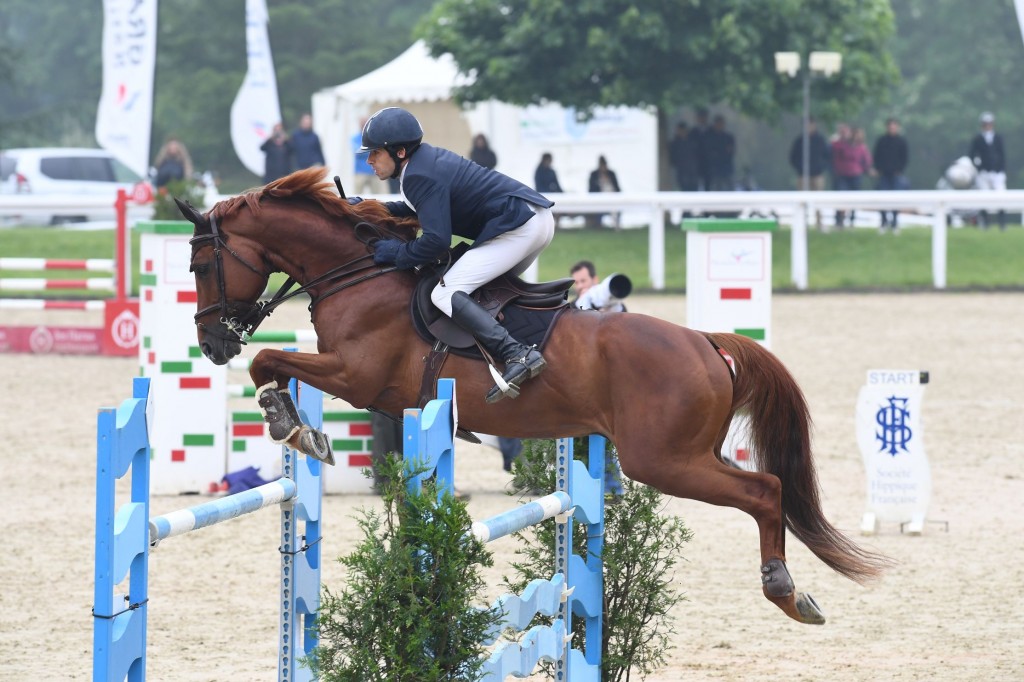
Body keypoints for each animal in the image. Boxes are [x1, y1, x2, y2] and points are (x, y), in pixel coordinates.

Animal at [178, 166, 888, 622]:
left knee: (765, 491)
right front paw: (299, 425)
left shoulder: (355, 374)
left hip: (665, 459)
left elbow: (270, 360)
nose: (211, 342)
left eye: (200, 264)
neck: (360, 271)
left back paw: (786, 591)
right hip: (681, 453)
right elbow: (274, 363)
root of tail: (706, 343)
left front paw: (291, 424)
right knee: (765, 491)